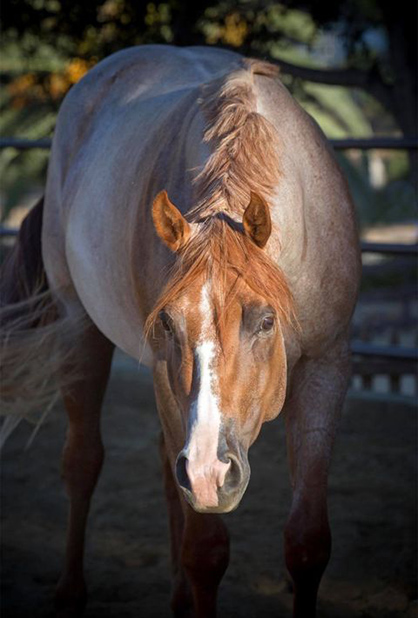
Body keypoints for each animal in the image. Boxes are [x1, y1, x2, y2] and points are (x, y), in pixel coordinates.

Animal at [0, 44, 360, 616]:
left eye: (265, 321)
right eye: (168, 324)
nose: (213, 472)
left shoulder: (328, 366)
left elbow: (307, 543)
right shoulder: (172, 392)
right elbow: (205, 553)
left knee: (165, 474)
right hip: (81, 332)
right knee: (83, 461)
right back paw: (70, 593)